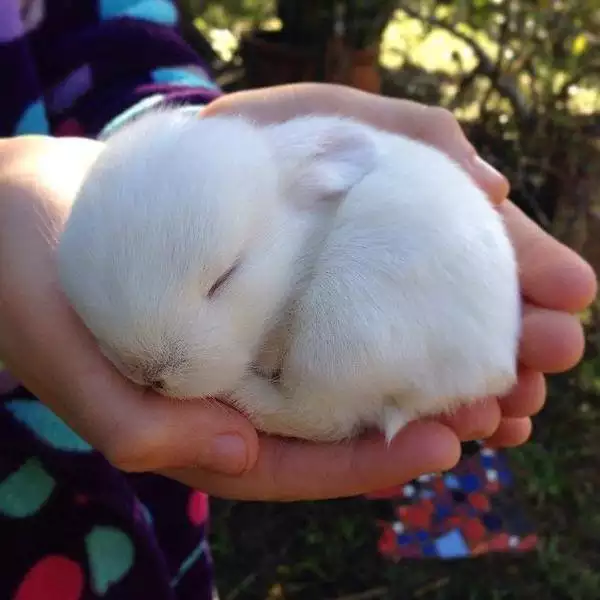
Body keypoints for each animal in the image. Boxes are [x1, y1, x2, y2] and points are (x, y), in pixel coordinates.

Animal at [56, 108, 520, 442]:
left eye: (226, 277)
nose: (148, 375)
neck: (303, 251)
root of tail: (491, 368)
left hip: (343, 333)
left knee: (323, 420)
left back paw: (241, 395)